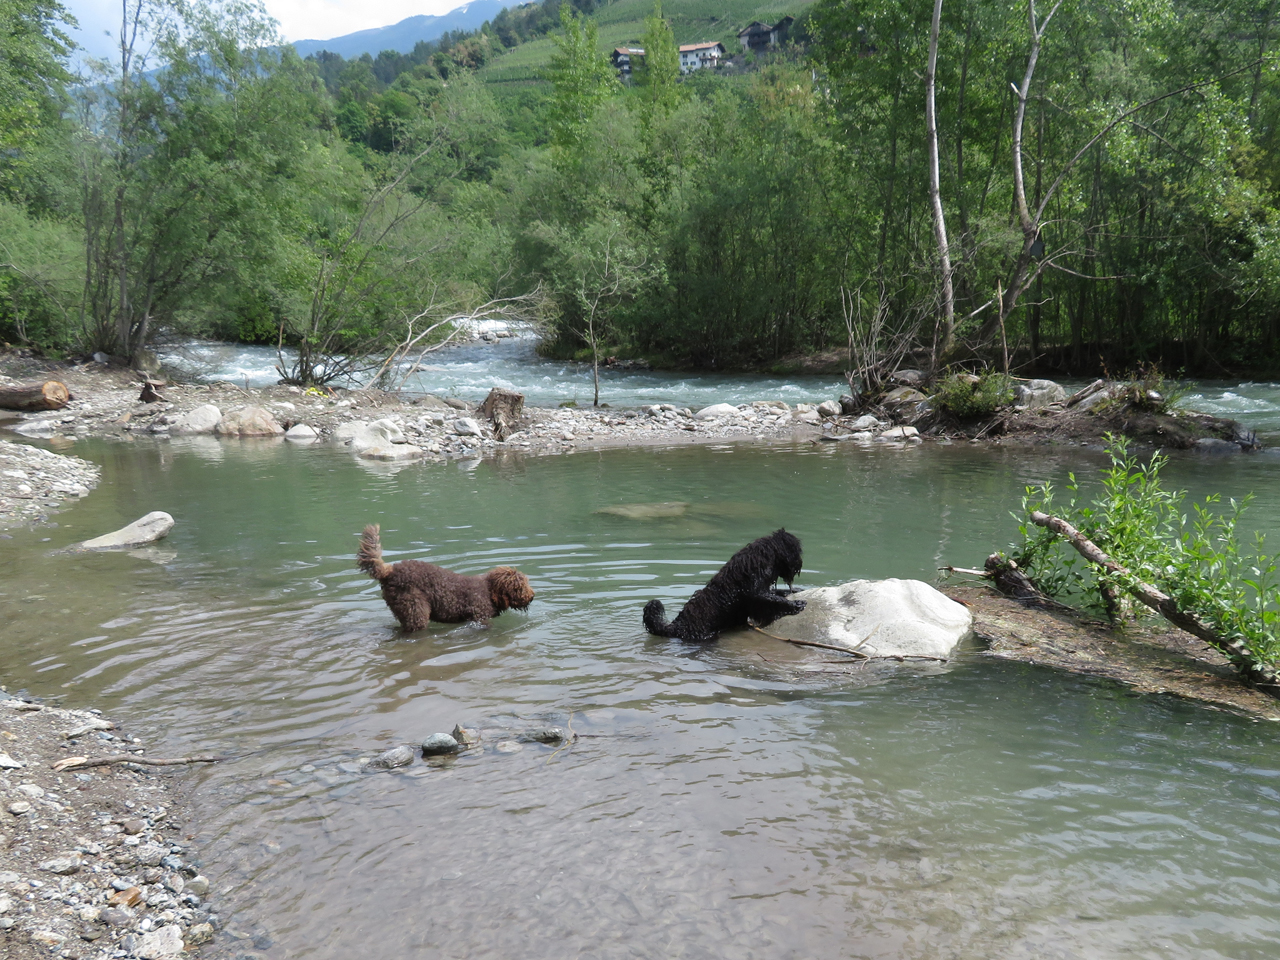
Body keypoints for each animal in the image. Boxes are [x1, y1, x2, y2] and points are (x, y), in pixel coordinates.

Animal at [355, 527, 535, 632]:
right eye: (519, 587)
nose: (532, 596)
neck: (489, 590)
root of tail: (389, 571)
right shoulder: (479, 617)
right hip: (414, 609)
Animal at [645, 529, 803, 642]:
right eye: (798, 551)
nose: (800, 564)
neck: (766, 556)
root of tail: (676, 626)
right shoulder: (755, 593)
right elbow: (770, 601)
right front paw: (796, 604)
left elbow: (776, 594)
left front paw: (794, 591)